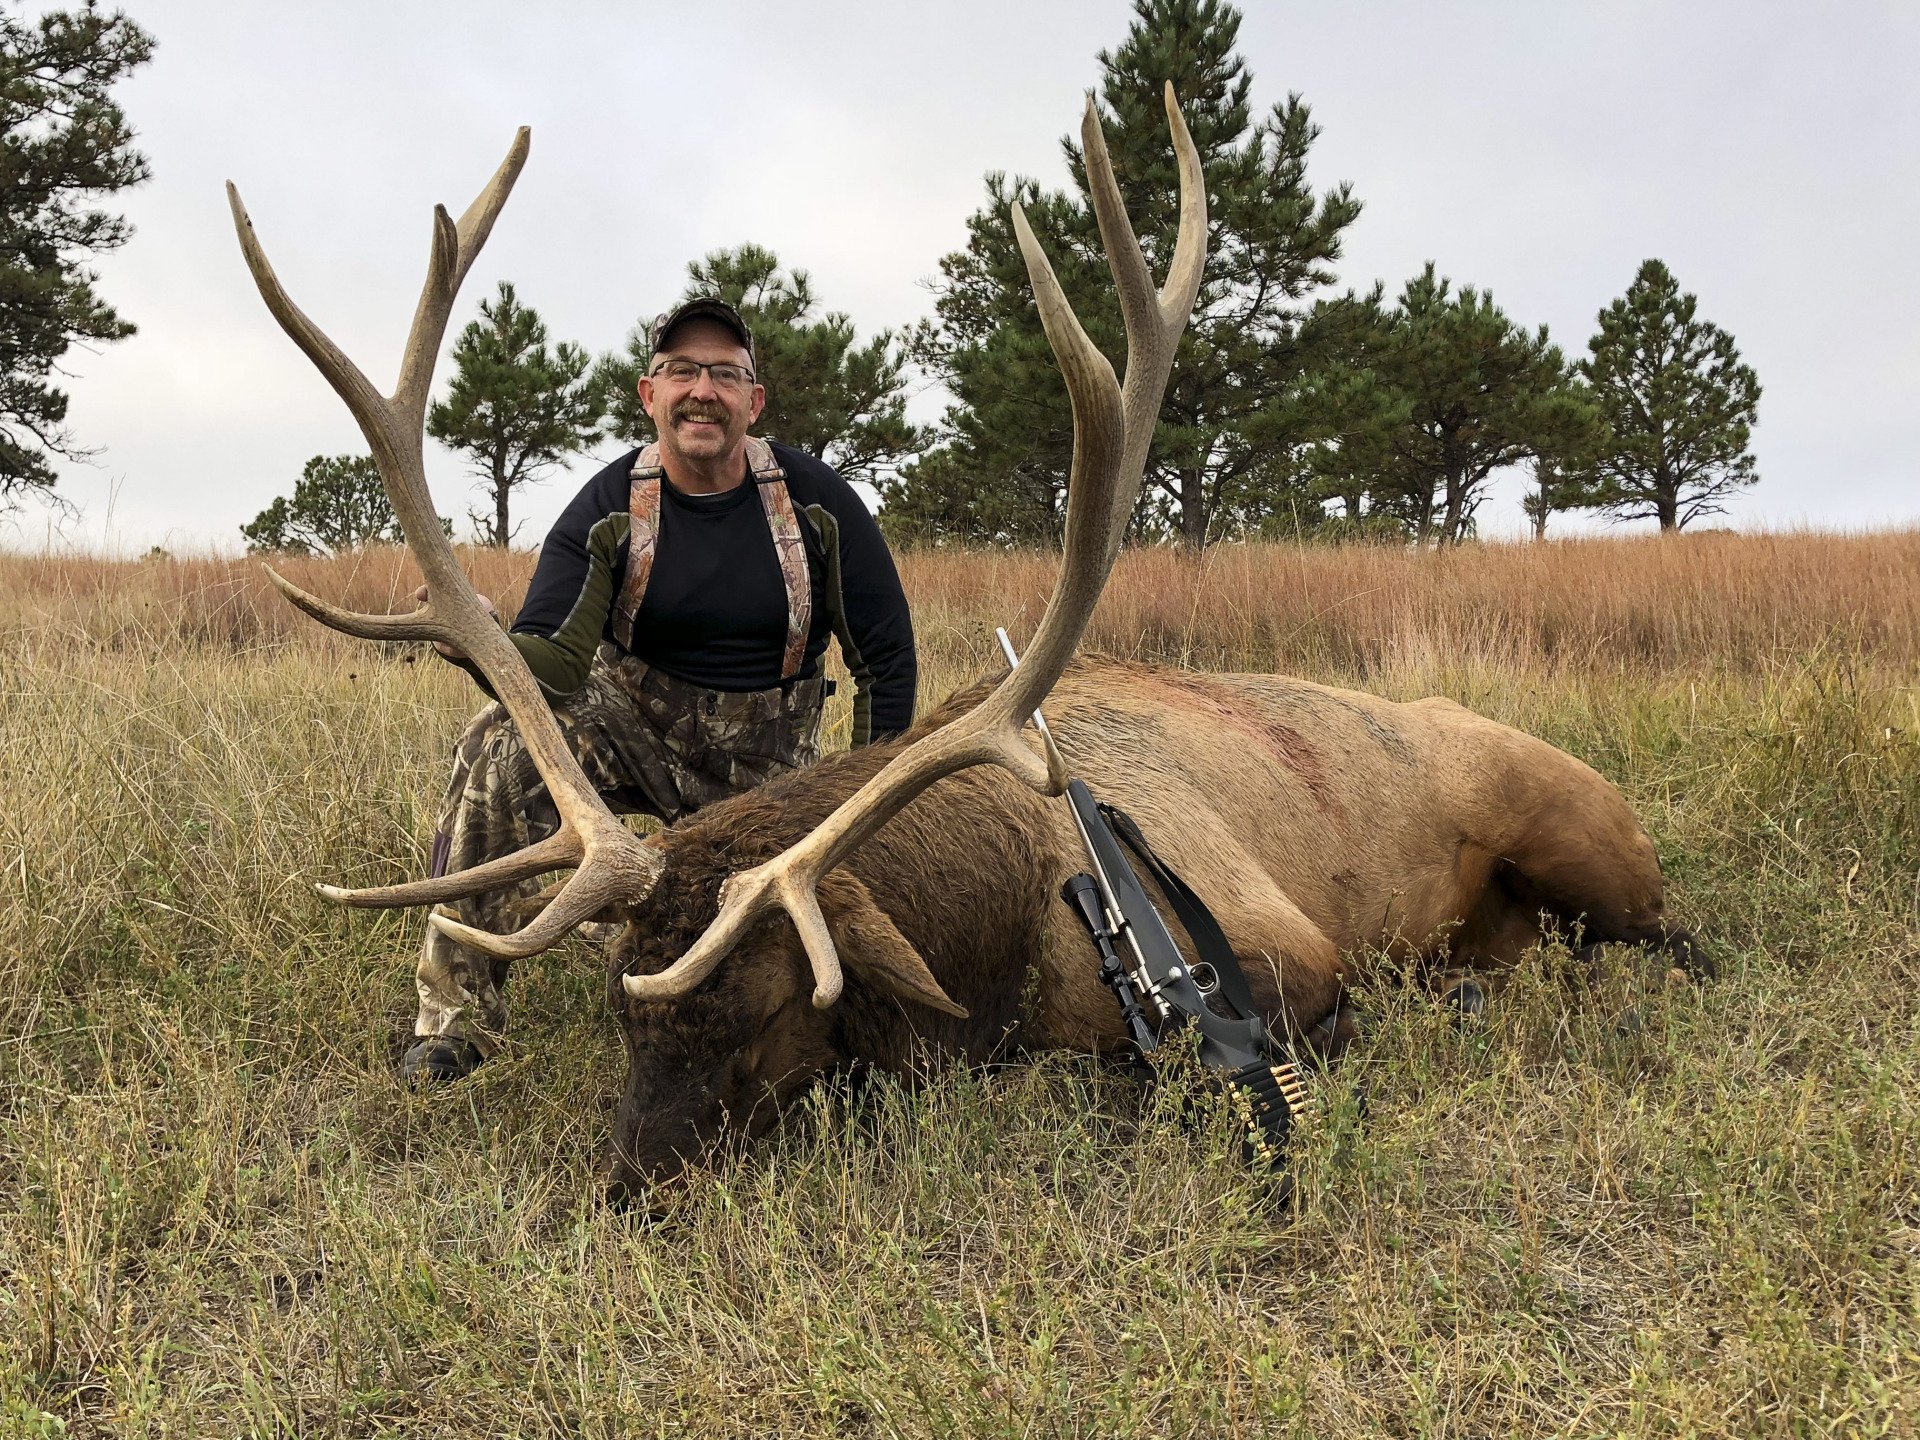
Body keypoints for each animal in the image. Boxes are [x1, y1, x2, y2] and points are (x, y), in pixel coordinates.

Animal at [228, 90, 1703, 1202]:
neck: (994, 943)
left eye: (765, 1010)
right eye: (622, 1016)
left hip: (1591, 842)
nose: (626, 1187)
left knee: (1677, 941)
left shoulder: (1287, 962)